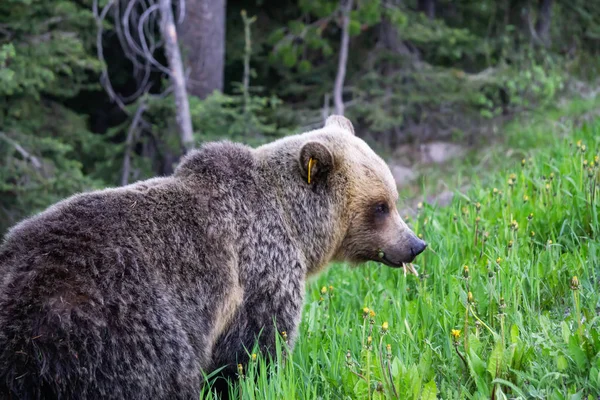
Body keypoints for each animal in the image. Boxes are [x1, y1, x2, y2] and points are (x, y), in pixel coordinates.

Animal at [0, 115, 426, 396]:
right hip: (115, 329)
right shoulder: (259, 273)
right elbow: (253, 349)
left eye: (392, 198)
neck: (294, 225)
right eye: (381, 206)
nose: (416, 244)